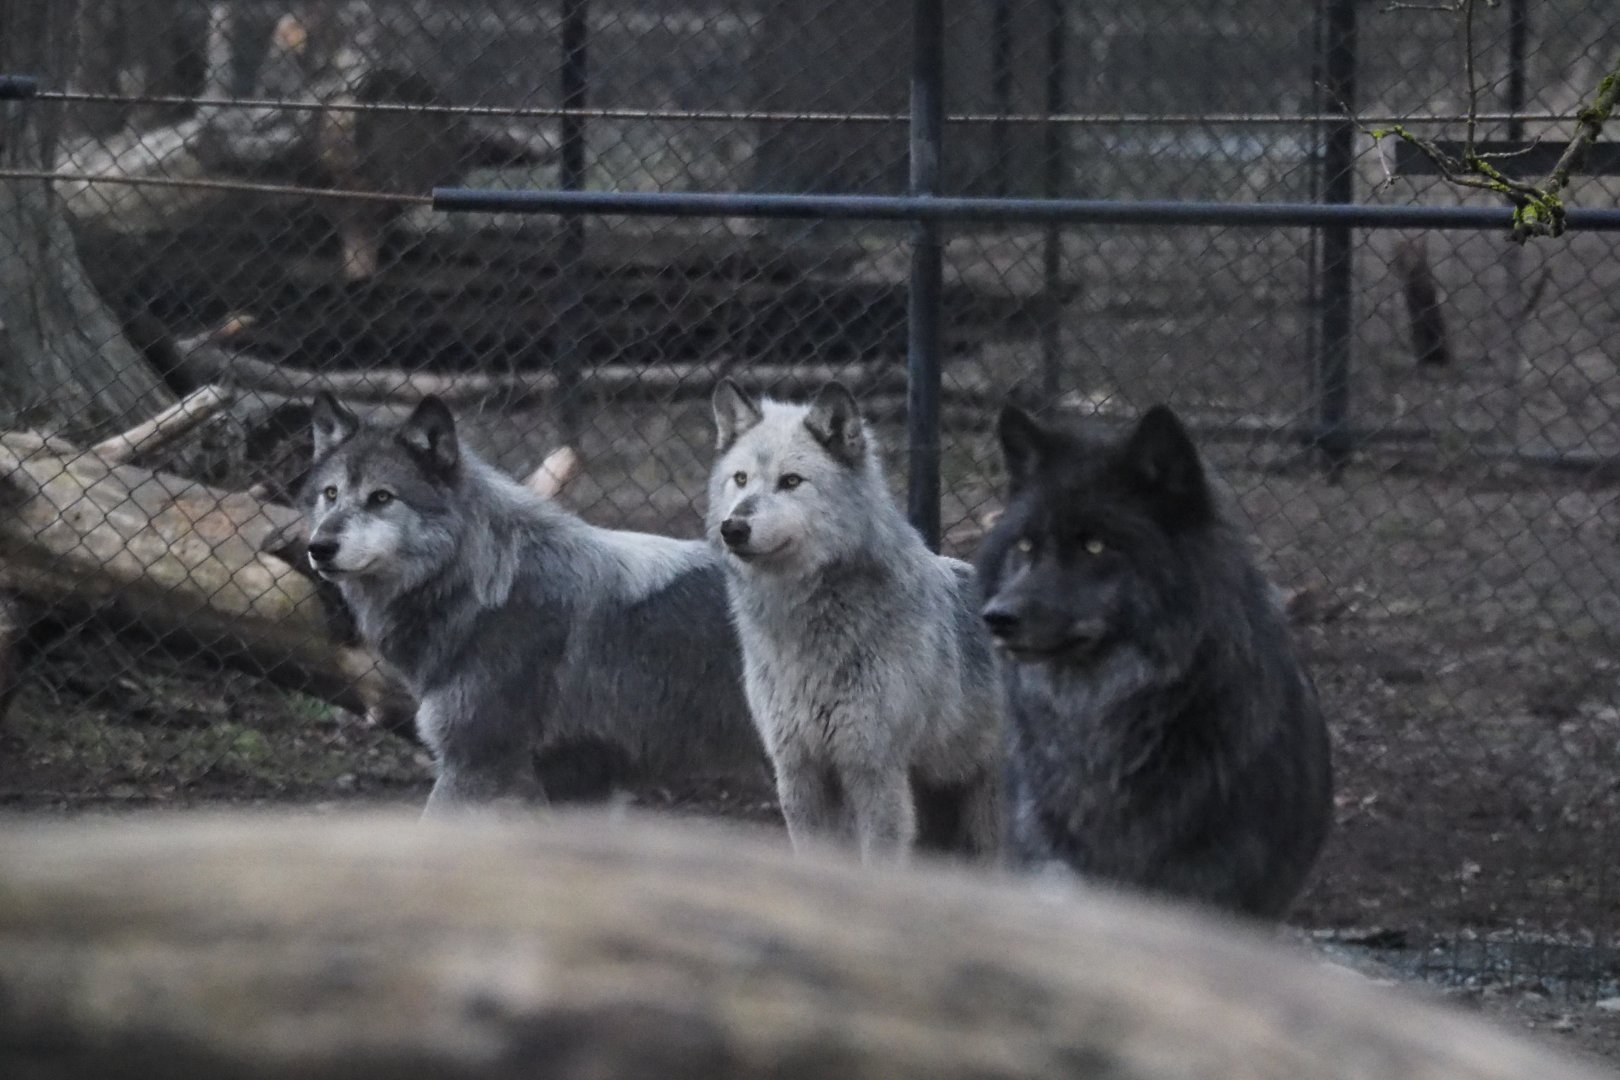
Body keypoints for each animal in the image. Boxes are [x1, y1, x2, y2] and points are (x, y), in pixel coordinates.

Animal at [302, 393, 765, 815]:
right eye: (331, 494)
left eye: (381, 498)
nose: (318, 548)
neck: (485, 588)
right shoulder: (578, 781)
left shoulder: (472, 764)